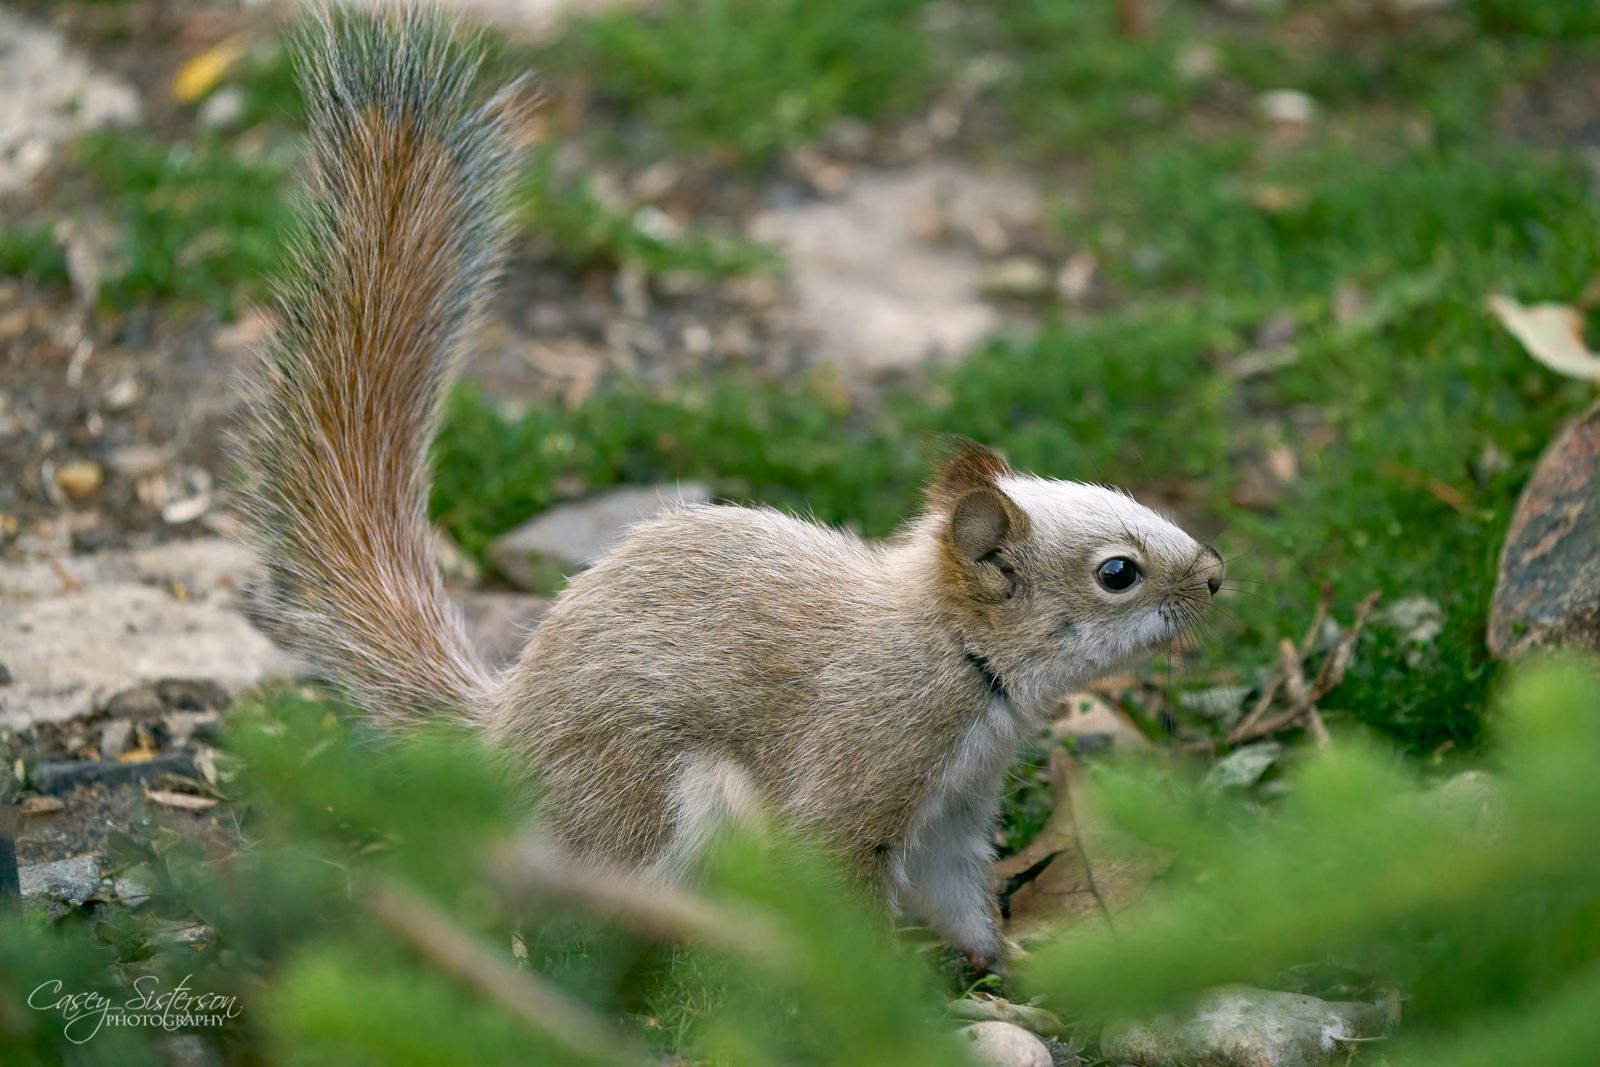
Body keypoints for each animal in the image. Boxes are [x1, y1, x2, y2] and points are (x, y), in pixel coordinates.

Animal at [238, 7, 1223, 971]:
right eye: (1118, 572)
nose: (1217, 574)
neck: (952, 651)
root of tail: (502, 734)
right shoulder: (862, 761)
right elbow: (840, 880)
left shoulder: (954, 809)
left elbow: (955, 895)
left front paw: (1002, 967)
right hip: (668, 804)